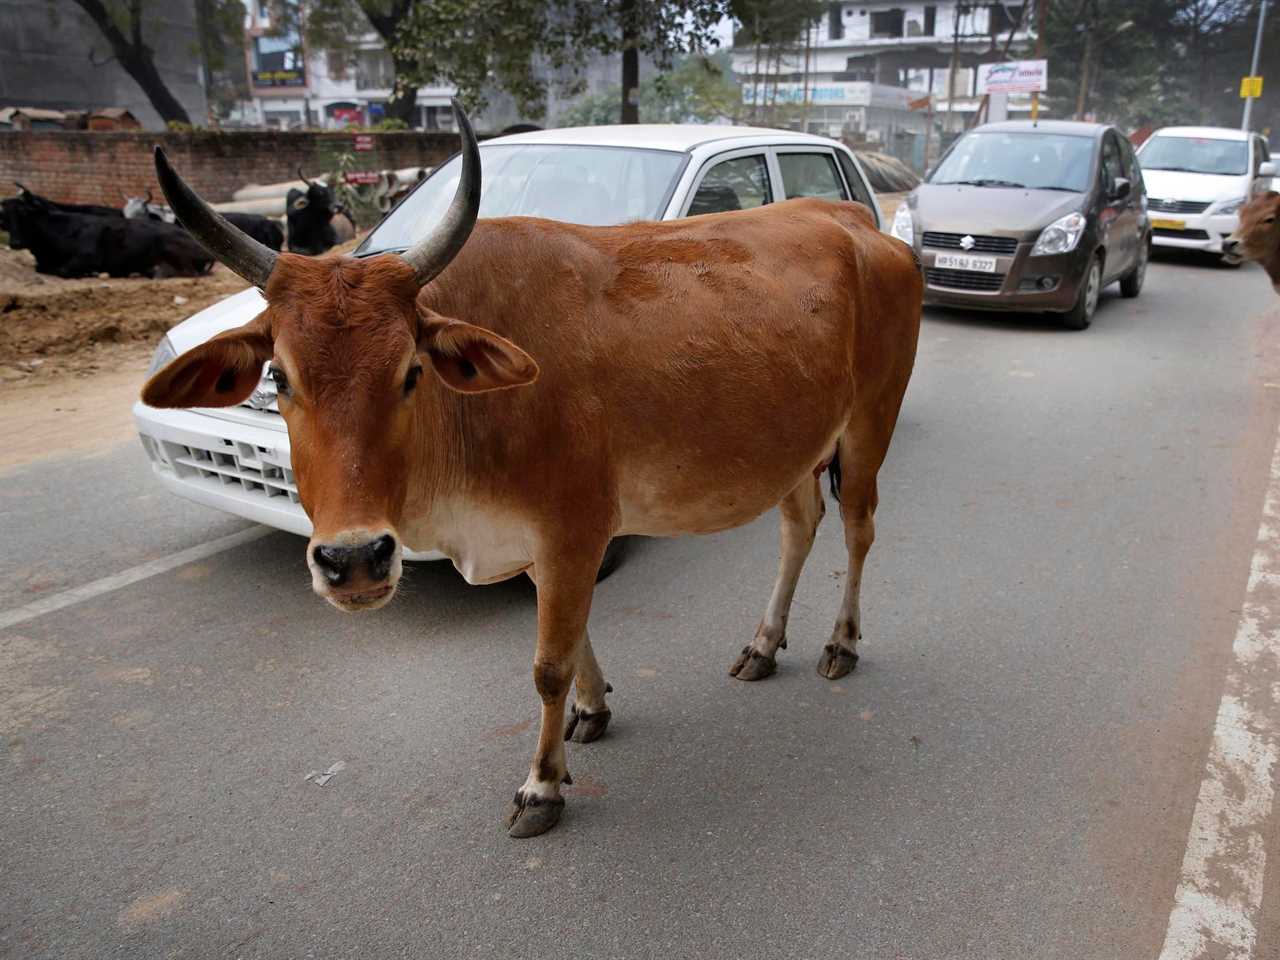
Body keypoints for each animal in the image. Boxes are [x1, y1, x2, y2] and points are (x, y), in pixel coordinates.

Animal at [137, 101, 921, 839]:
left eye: (410, 371)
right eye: (280, 375)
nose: (355, 560)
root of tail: (859, 222)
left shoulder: (574, 529)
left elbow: (549, 663)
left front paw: (541, 786)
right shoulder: (540, 539)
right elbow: (568, 642)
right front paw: (593, 709)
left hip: (869, 424)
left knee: (858, 530)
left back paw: (841, 642)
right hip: (797, 448)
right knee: (799, 528)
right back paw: (762, 644)